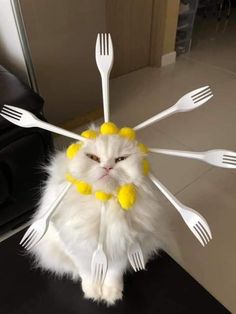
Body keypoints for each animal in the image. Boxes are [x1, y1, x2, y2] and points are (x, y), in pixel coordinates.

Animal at [29, 127, 173, 304]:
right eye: (93, 158)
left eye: (120, 159)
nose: (107, 167)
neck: (104, 206)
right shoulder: (76, 247)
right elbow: (87, 272)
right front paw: (93, 292)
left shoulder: (120, 247)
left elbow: (113, 274)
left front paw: (111, 294)